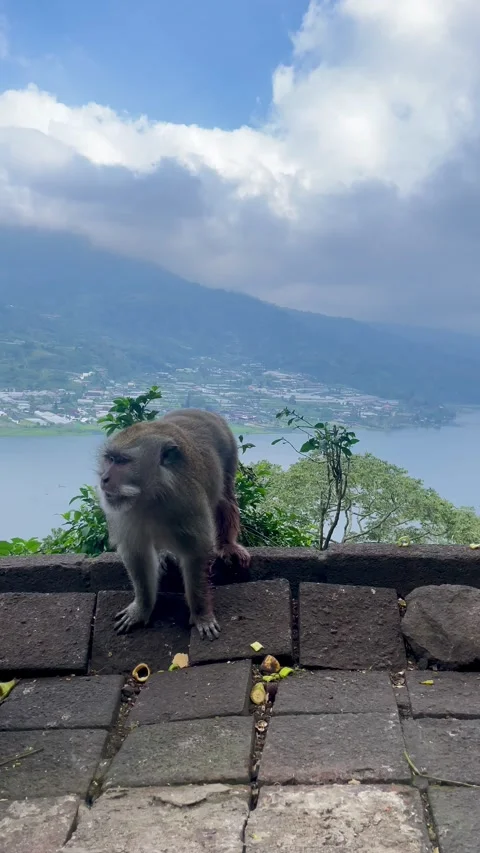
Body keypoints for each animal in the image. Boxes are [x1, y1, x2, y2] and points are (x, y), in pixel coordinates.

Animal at [97, 408, 251, 639]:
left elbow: (196, 554)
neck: (151, 496)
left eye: (123, 461)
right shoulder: (122, 512)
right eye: (110, 459)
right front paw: (141, 609)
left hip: (229, 449)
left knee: (225, 499)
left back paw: (227, 544)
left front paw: (201, 614)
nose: (104, 478)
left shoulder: (188, 502)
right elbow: (137, 554)